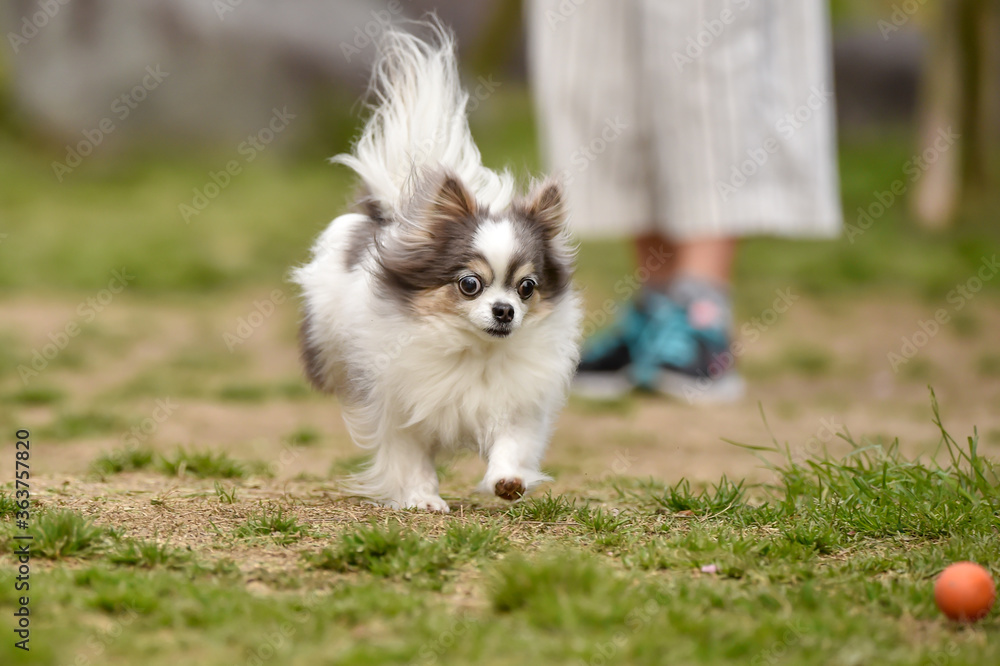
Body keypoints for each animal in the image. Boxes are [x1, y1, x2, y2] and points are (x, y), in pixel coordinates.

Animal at [290, 20, 584, 508]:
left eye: (526, 287)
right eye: (469, 284)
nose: (504, 311)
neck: (473, 351)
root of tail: (390, 210)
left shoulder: (518, 404)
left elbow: (512, 443)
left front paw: (508, 480)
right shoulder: (397, 402)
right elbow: (408, 454)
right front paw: (421, 497)